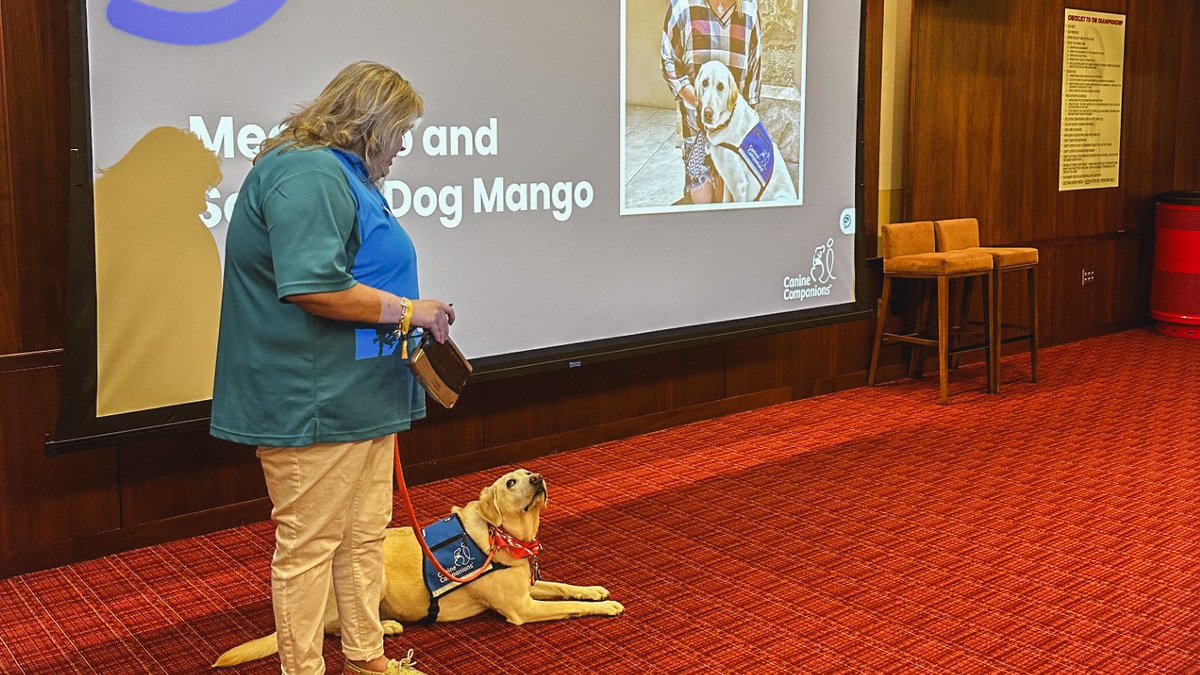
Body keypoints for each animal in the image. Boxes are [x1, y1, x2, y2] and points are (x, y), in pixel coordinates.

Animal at [214, 468, 624, 667]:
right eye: (511, 482)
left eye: (528, 474)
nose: (538, 479)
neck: (504, 536)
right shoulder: (522, 608)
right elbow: (567, 606)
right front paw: (604, 607)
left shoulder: (527, 585)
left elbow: (564, 587)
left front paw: (595, 590)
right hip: (371, 575)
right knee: (336, 626)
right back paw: (387, 626)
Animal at [696, 59, 796, 201]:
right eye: (704, 83)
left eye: (720, 87)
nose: (707, 113)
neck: (727, 120)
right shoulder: (728, 181)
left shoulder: (739, 185)